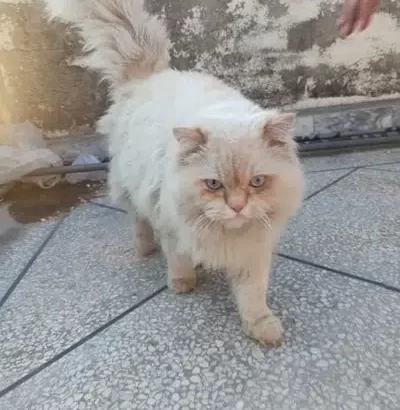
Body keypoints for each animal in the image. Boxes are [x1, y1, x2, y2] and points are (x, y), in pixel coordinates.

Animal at [44, 0, 304, 346]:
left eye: (257, 182)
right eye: (213, 184)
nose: (237, 207)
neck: (226, 235)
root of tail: (148, 76)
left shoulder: (254, 250)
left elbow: (253, 295)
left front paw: (263, 328)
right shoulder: (170, 222)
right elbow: (178, 258)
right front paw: (182, 283)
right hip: (131, 190)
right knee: (139, 223)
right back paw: (145, 249)